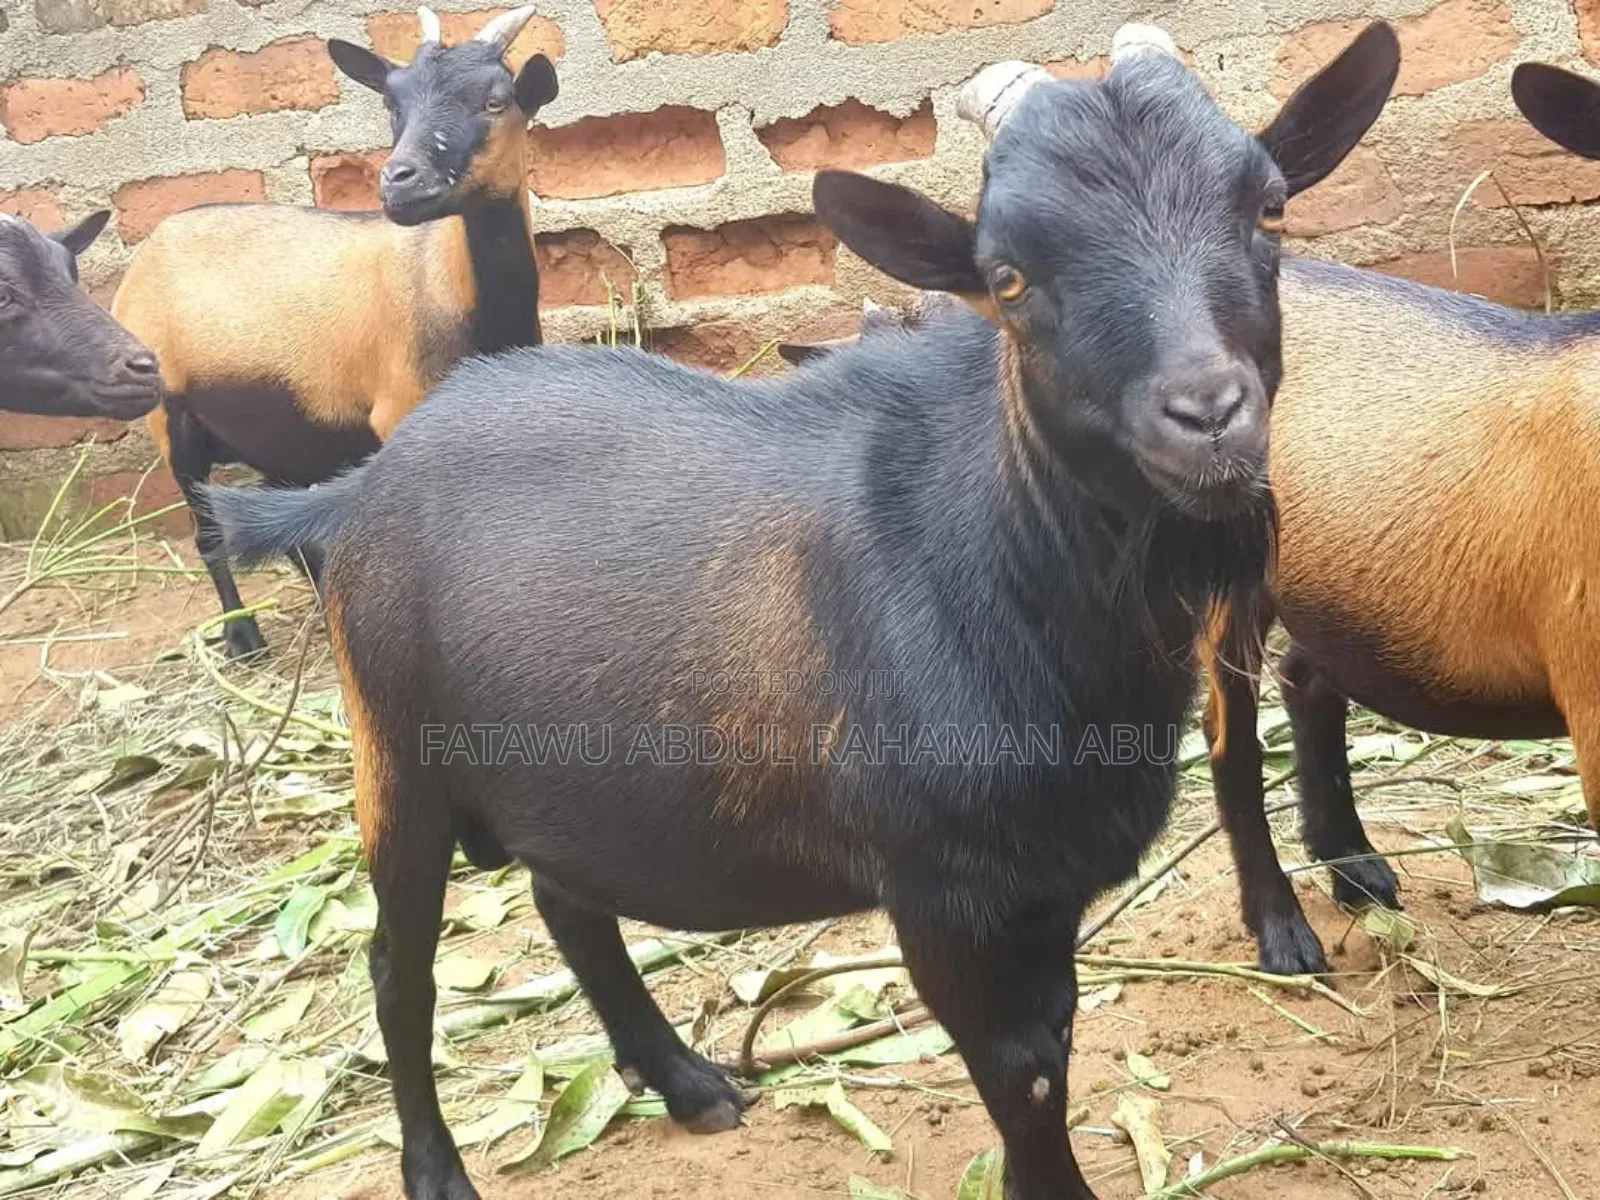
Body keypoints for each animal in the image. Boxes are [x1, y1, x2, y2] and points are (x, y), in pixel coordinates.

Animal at [111, 6, 558, 658]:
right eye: (392, 104)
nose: (399, 181)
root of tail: (149, 249)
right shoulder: (400, 410)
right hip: (171, 419)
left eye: (496, 101)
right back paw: (243, 637)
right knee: (209, 533)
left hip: (279, 426)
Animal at [205, 23, 1397, 1200]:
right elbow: (1023, 1079)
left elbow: (1052, 1051)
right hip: (397, 762)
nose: (1209, 415)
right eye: (1008, 277)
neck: (1003, 566)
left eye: (1269, 208)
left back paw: (687, 1082)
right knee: (397, 967)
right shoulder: (945, 897)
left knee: (568, 903)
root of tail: (359, 487)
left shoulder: (1043, 881)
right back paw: (439, 1170)